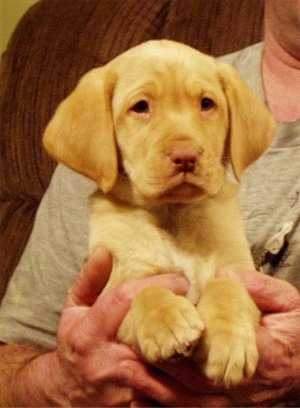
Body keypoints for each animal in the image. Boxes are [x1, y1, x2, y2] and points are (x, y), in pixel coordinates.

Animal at [43, 39, 276, 388]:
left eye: (207, 104)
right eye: (141, 107)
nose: (186, 156)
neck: (172, 214)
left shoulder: (238, 269)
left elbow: (228, 288)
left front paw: (228, 340)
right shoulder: (115, 288)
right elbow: (142, 290)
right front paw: (166, 321)